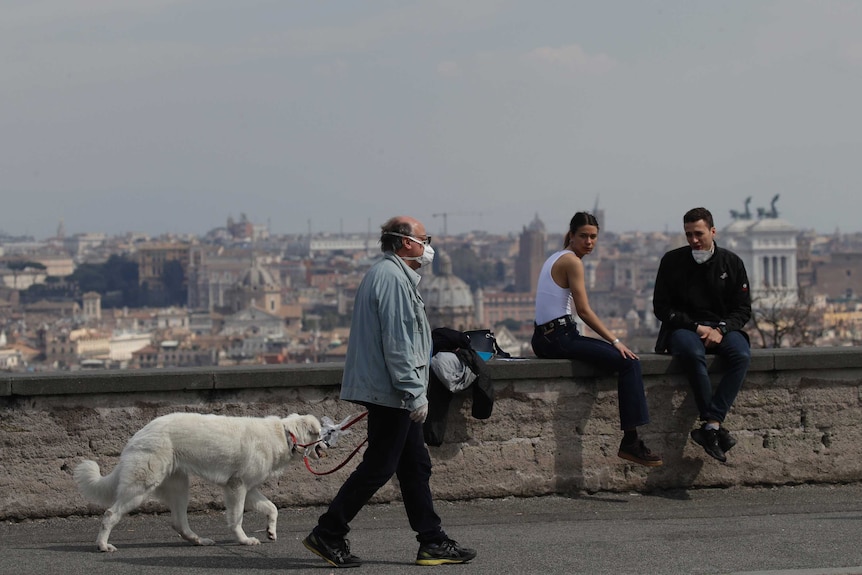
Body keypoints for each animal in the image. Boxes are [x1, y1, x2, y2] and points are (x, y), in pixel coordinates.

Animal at [72, 414, 324, 552]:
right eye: (321, 433)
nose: (328, 446)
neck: (285, 435)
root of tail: (138, 434)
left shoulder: (249, 489)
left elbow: (272, 508)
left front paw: (270, 531)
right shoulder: (237, 487)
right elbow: (236, 519)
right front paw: (244, 540)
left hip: (180, 487)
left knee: (178, 523)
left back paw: (198, 540)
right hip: (140, 488)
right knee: (110, 514)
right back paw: (102, 545)